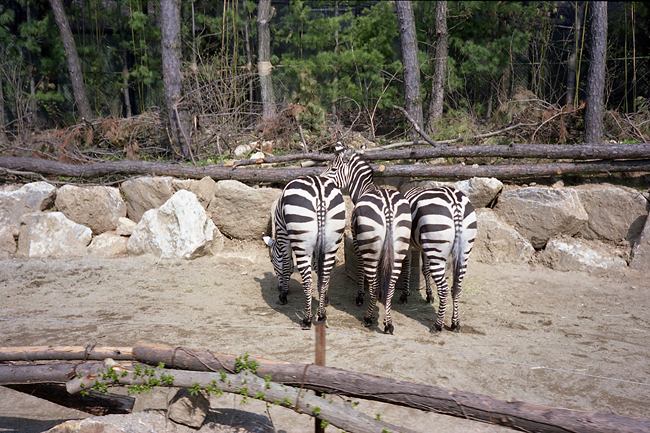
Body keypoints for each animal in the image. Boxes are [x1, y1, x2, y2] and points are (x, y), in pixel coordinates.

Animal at [263, 175, 346, 329]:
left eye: (272, 261)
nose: (278, 288)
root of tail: (319, 191)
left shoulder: (283, 234)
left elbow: (286, 265)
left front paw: (283, 296)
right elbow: (319, 271)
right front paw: (324, 301)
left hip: (301, 242)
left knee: (307, 282)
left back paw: (307, 320)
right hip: (332, 240)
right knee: (324, 278)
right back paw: (322, 316)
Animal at [323, 145, 411, 334]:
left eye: (332, 169)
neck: (365, 189)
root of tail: (388, 207)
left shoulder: (357, 241)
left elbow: (361, 268)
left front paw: (360, 296)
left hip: (370, 248)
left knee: (375, 283)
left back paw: (368, 318)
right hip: (399, 246)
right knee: (390, 284)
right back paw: (388, 323)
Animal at [400, 186, 477, 333]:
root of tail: (454, 201)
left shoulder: (409, 242)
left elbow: (407, 268)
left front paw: (404, 295)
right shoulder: (425, 247)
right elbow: (425, 270)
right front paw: (429, 295)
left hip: (436, 246)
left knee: (444, 289)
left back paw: (438, 325)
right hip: (463, 250)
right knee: (457, 288)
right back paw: (455, 323)